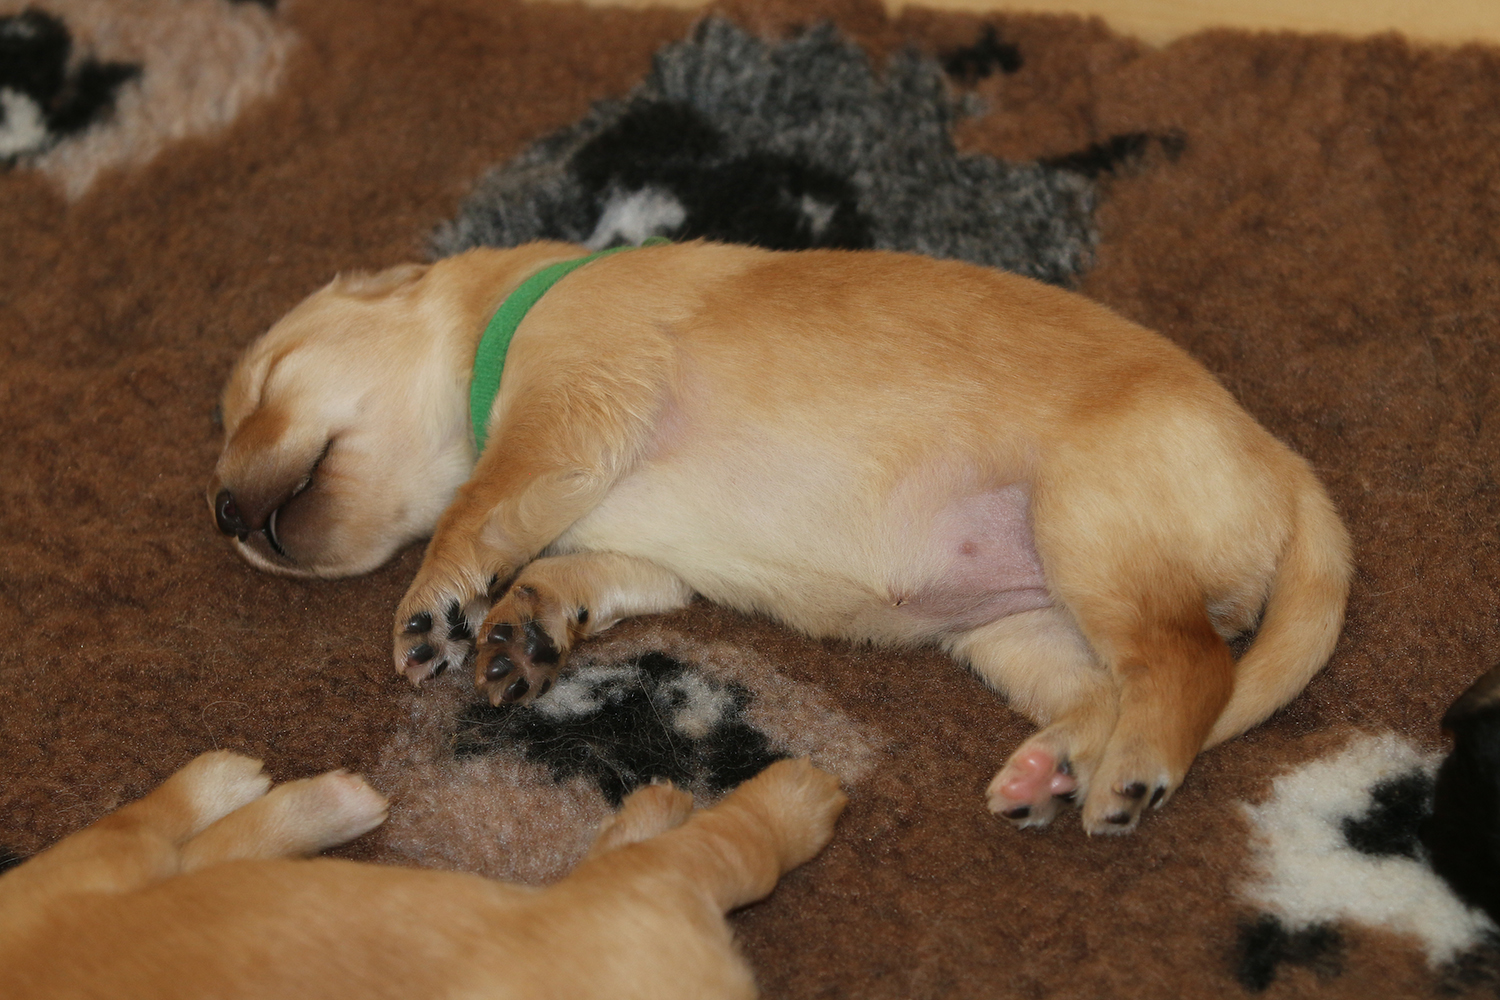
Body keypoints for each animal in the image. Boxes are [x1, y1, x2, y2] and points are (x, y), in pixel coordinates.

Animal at [209, 240, 1353, 834]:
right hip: (1020, 630)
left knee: (1189, 669)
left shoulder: (570, 410)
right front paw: (525, 623)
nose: (221, 515)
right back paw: (1051, 772)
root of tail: (1289, 472)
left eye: (257, 388)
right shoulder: (637, 553)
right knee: (1105, 692)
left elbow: (476, 509)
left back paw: (1131, 775)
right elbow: (573, 566)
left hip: (1089, 526)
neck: (496, 330)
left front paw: (436, 602)